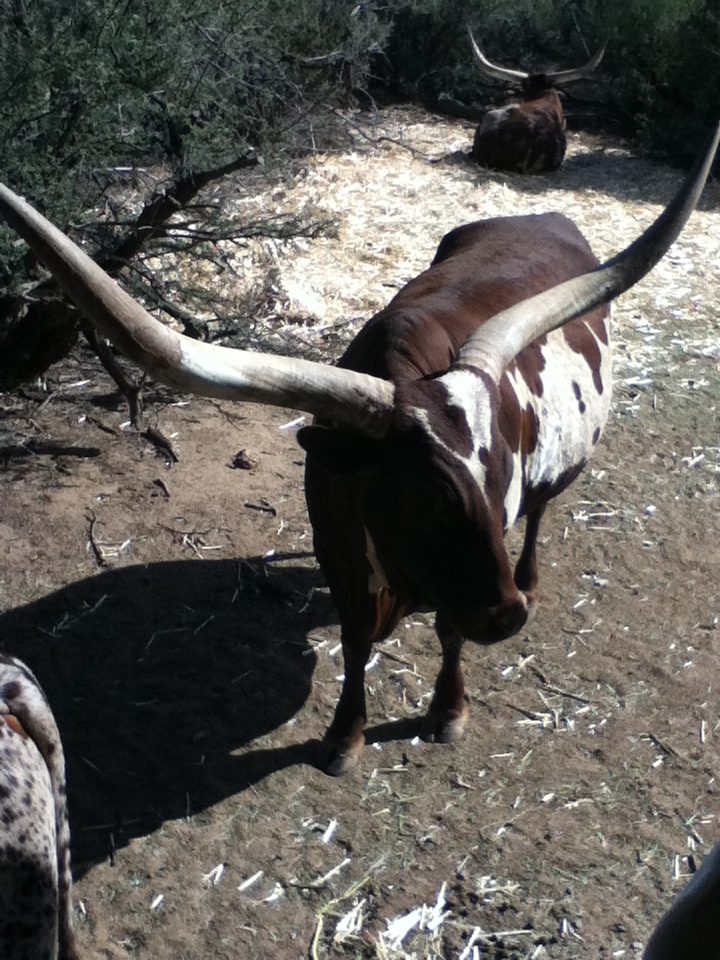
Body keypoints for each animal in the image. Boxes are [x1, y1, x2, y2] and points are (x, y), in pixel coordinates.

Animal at [0, 125, 717, 776]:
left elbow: (449, 630)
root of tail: (539, 212)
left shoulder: (459, 576)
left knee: (543, 515)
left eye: (502, 478)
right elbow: (351, 644)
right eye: (427, 496)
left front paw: (447, 711)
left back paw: (532, 579)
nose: (507, 616)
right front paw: (343, 740)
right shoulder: (341, 555)